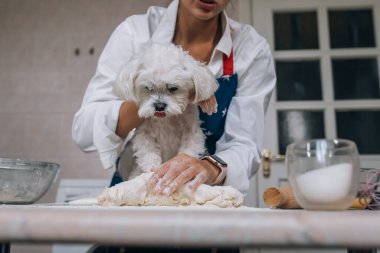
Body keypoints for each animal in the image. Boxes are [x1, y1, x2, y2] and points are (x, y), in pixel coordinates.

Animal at [114, 42, 218, 179]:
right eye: (148, 88)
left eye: (173, 88)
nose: (159, 106)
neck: (166, 120)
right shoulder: (144, 133)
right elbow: (148, 153)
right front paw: (152, 169)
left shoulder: (191, 132)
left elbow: (188, 151)